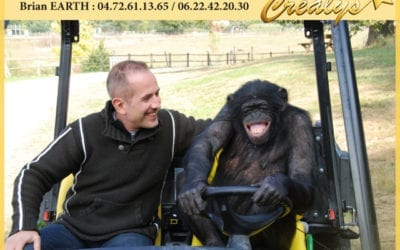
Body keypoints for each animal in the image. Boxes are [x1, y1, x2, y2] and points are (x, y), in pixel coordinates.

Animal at [178, 80, 316, 250]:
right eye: (248, 109)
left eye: (262, 107)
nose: (255, 114)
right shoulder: (227, 112)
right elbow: (208, 140)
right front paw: (192, 188)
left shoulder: (301, 124)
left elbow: (301, 175)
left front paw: (275, 184)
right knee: (182, 178)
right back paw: (213, 241)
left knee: (273, 201)